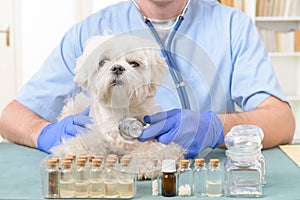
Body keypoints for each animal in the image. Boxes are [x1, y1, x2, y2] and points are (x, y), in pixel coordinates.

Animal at [50, 34, 184, 173]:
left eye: (134, 63)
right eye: (103, 62)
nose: (118, 68)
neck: (121, 110)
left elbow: (155, 149)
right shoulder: (94, 133)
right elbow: (82, 143)